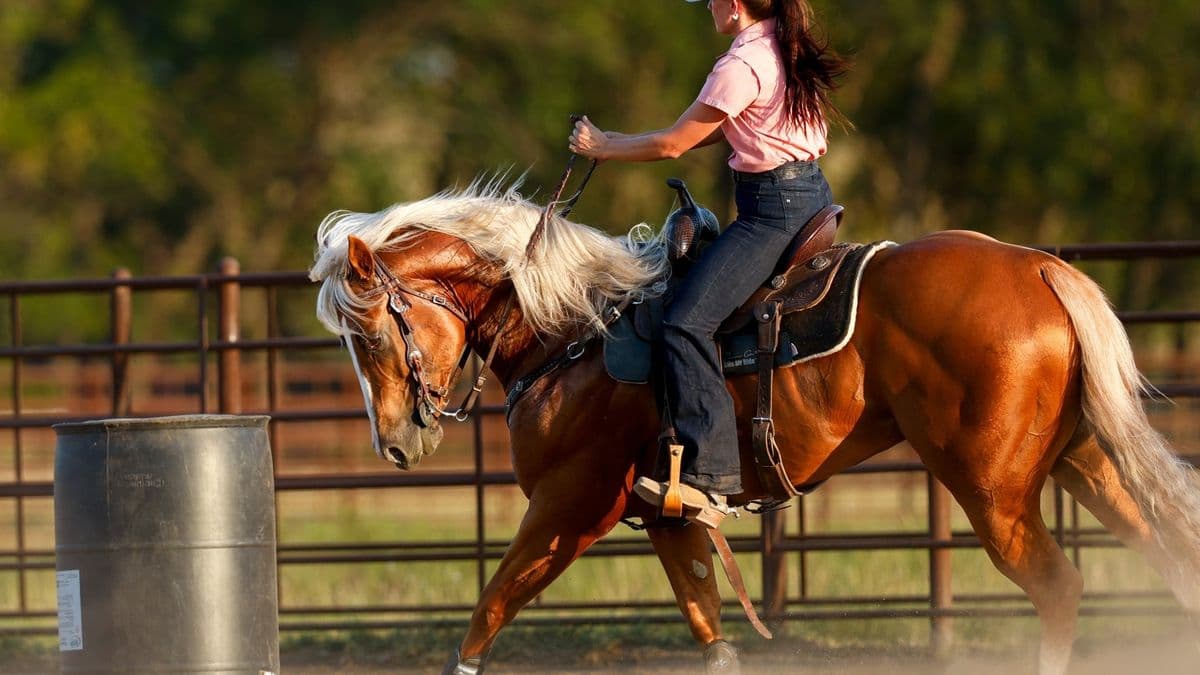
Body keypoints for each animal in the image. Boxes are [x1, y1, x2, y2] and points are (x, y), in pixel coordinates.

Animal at [308, 180, 1200, 675]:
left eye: (370, 334)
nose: (398, 442)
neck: (573, 331)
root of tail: (1040, 267)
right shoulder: (667, 519)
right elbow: (711, 628)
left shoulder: (569, 508)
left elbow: (489, 609)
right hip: (1087, 463)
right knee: (1170, 555)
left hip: (994, 489)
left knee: (1059, 587)